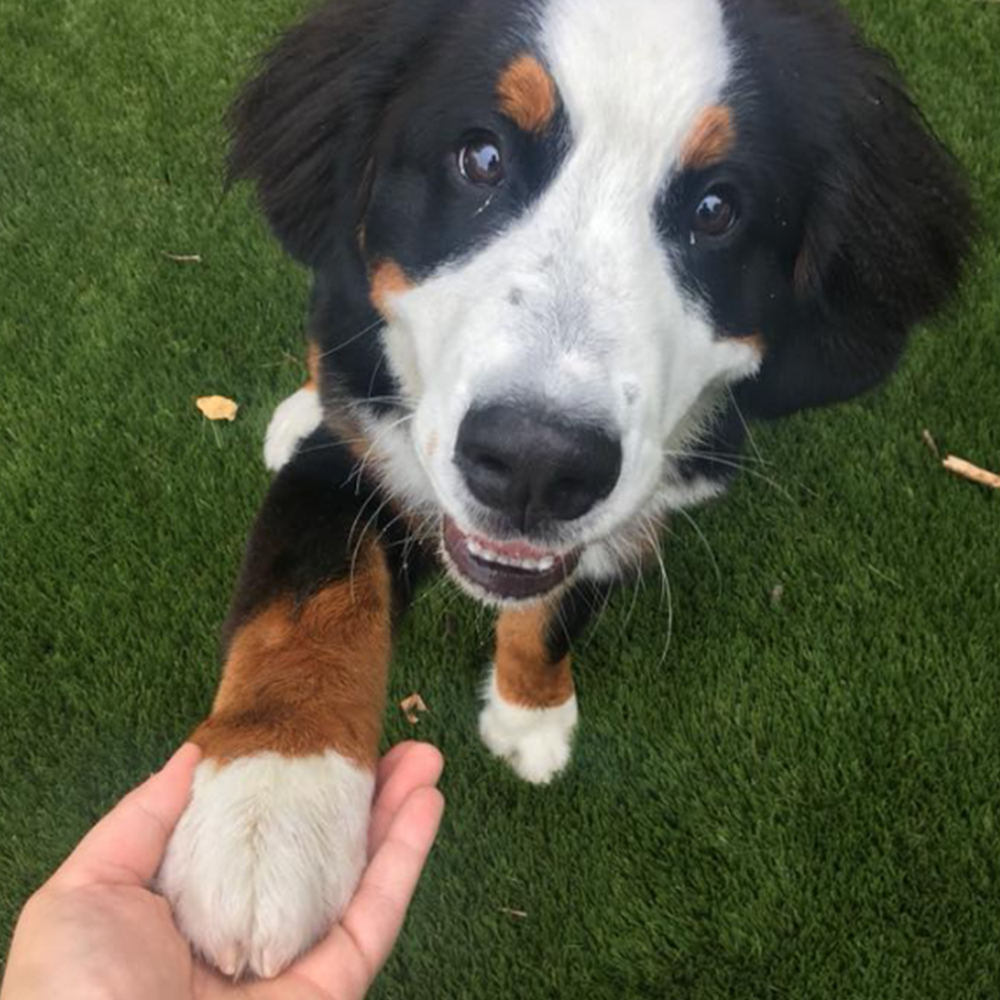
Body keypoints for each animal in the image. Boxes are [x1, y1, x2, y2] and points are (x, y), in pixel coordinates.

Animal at [160, 0, 972, 980]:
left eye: (717, 209)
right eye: (480, 158)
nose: (536, 464)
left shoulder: (639, 509)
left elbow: (552, 614)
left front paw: (532, 722)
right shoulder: (346, 468)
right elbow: (305, 603)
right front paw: (269, 814)